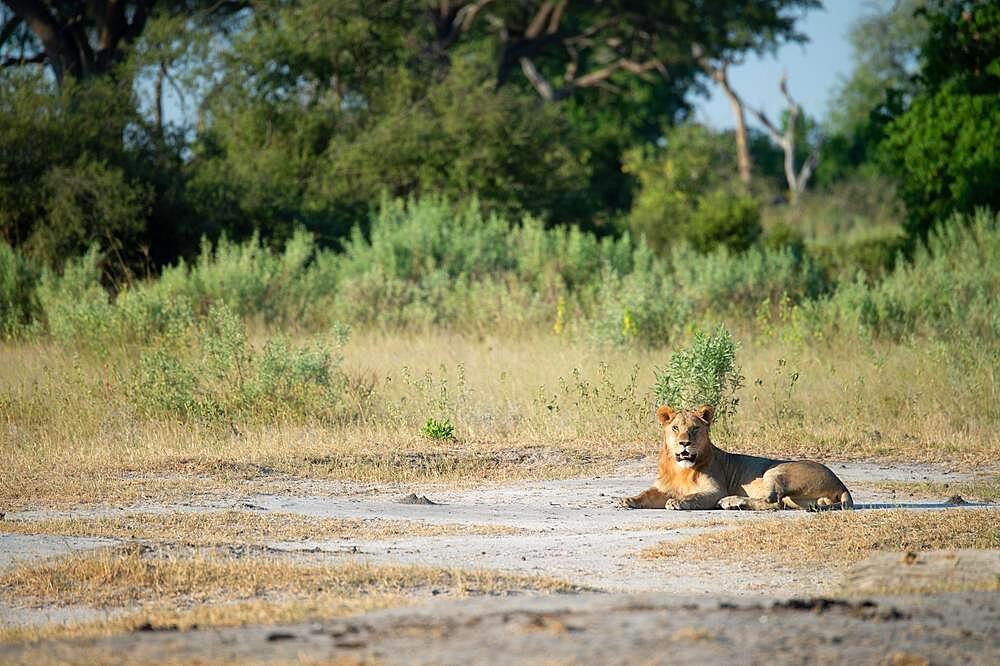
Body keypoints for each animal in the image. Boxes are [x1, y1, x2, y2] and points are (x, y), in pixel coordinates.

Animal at [624, 402, 852, 510]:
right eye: (675, 428)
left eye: (695, 429)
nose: (684, 443)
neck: (681, 469)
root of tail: (841, 484)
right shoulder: (661, 488)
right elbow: (645, 494)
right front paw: (628, 499)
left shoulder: (715, 490)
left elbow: (694, 496)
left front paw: (678, 502)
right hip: (797, 500)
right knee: (776, 503)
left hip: (775, 470)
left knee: (772, 500)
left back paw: (730, 501)